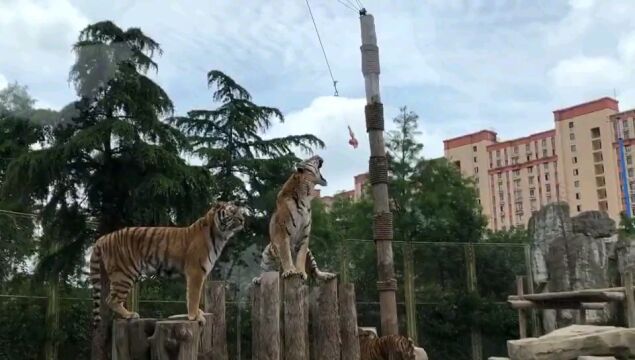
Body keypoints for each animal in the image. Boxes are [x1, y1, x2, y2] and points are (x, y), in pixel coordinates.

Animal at [90, 201, 245, 328]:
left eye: (240, 212)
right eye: (232, 212)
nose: (243, 219)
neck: (220, 235)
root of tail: (105, 237)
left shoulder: (199, 273)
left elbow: (193, 295)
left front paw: (197, 313)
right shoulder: (196, 271)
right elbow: (194, 296)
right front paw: (195, 316)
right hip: (124, 274)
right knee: (111, 299)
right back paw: (129, 315)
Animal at [252, 155, 336, 284]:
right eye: (311, 159)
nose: (317, 155)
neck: (306, 195)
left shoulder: (304, 236)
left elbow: (300, 256)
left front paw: (300, 272)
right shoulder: (283, 234)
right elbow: (286, 254)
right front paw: (290, 271)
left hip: (310, 254)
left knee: (315, 272)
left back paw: (327, 275)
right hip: (267, 253)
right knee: (266, 272)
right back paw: (258, 279)